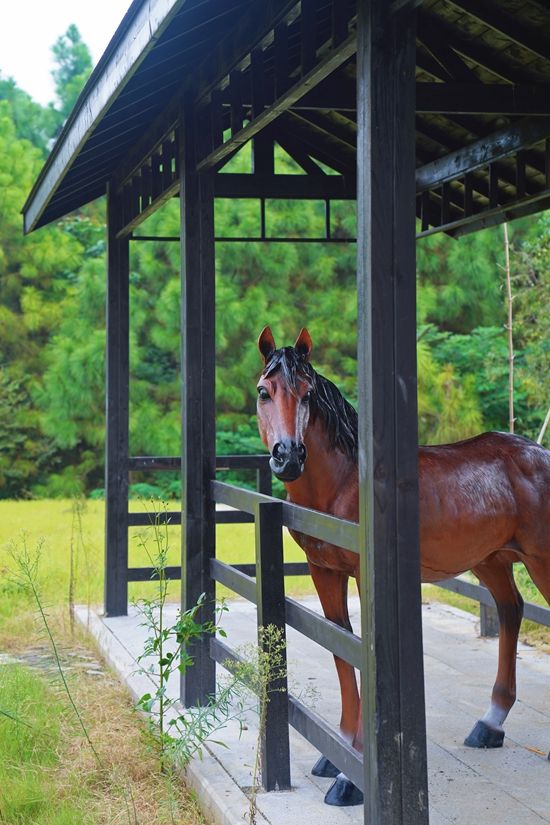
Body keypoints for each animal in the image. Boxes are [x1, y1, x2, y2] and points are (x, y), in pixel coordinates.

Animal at [255, 325, 550, 807]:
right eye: (265, 391)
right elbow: (340, 649)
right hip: (492, 561)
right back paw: (489, 724)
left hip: (540, 559)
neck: (344, 483)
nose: (289, 456)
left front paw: (350, 778)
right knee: (511, 611)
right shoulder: (324, 571)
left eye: (307, 393)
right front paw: (339, 752)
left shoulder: (364, 578)